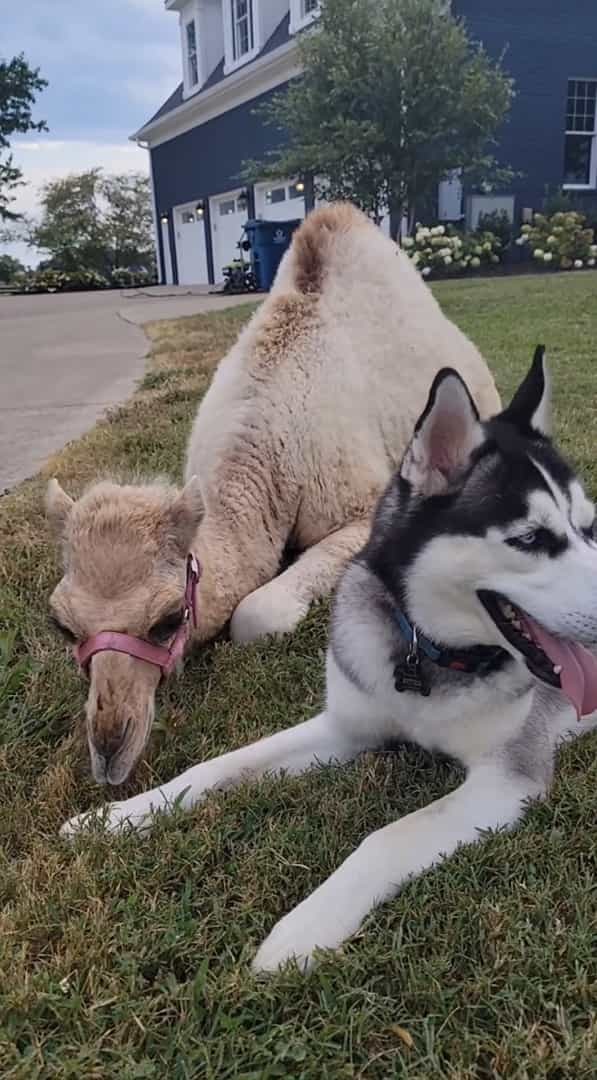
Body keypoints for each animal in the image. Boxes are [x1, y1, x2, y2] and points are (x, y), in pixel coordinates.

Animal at [61, 349, 597, 976]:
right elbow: (217, 767)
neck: (424, 657)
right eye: (532, 538)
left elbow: (387, 837)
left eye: (587, 530)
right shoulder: (344, 726)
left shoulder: (506, 778)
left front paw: (303, 928)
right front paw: (120, 816)